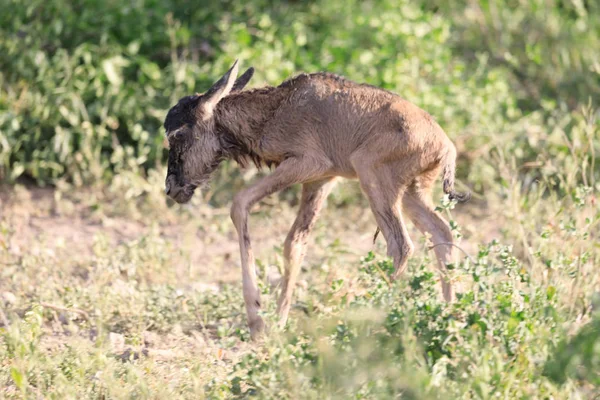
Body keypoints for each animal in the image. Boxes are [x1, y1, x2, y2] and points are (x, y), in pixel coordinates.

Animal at [163, 60, 468, 338]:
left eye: (177, 134)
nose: (171, 188)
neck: (275, 110)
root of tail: (446, 147)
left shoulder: (306, 164)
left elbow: (239, 204)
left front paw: (257, 320)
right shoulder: (321, 180)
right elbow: (294, 243)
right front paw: (278, 323)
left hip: (372, 176)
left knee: (401, 245)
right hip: (412, 193)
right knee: (442, 232)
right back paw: (450, 317)